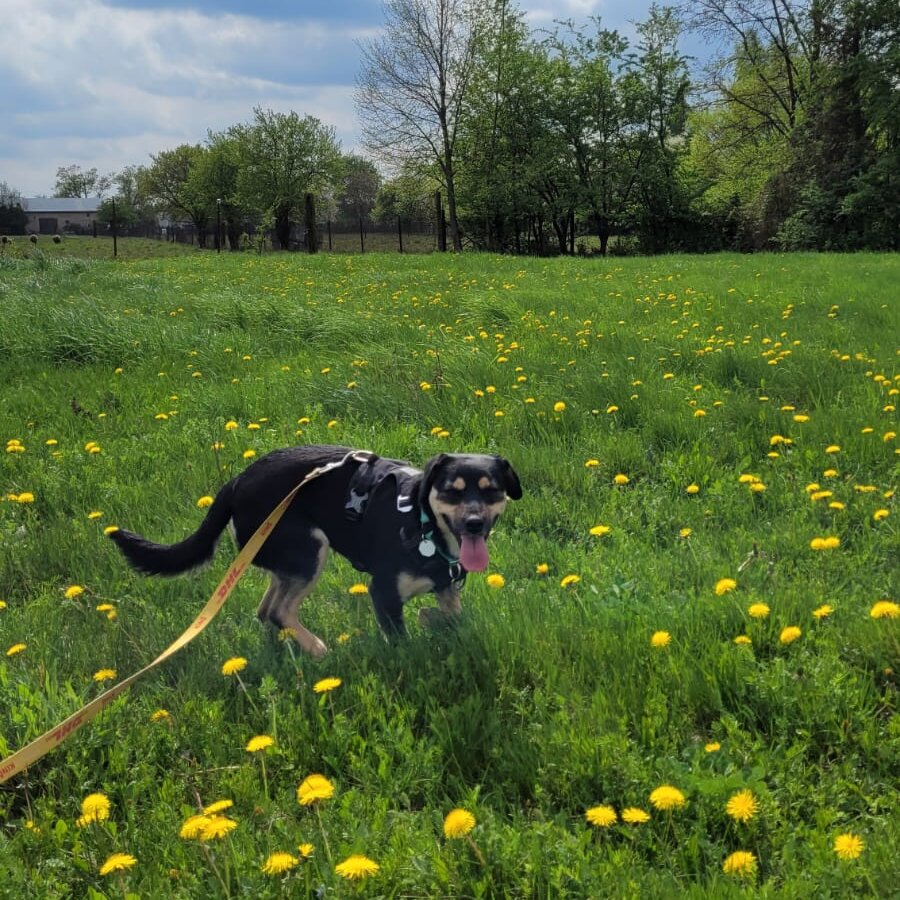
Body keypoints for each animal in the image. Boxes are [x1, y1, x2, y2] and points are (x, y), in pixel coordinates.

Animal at [109, 445, 521, 657]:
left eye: (491, 491)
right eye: (452, 490)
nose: (474, 523)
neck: (423, 523)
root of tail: (236, 482)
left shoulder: (447, 586)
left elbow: (453, 618)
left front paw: (432, 620)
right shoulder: (383, 592)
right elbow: (402, 639)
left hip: (287, 556)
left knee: (266, 609)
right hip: (309, 549)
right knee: (279, 610)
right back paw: (319, 651)